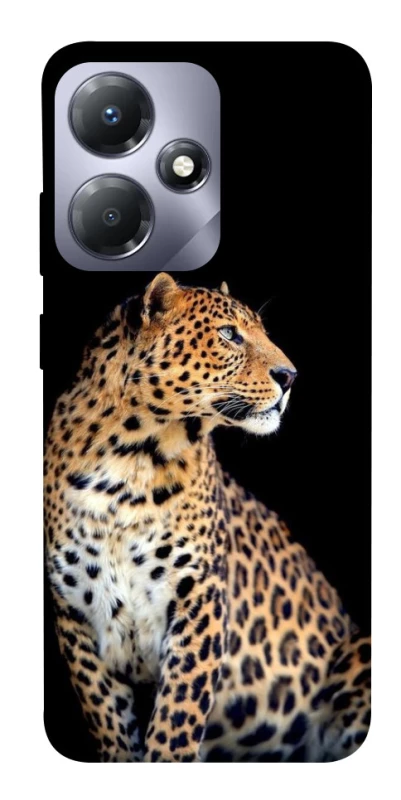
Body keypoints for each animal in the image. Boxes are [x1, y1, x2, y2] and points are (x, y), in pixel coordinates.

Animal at [44, 272, 371, 762]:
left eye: (261, 331)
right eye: (229, 334)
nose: (290, 376)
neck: (128, 461)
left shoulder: (200, 599)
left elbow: (176, 720)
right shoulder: (75, 617)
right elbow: (110, 723)